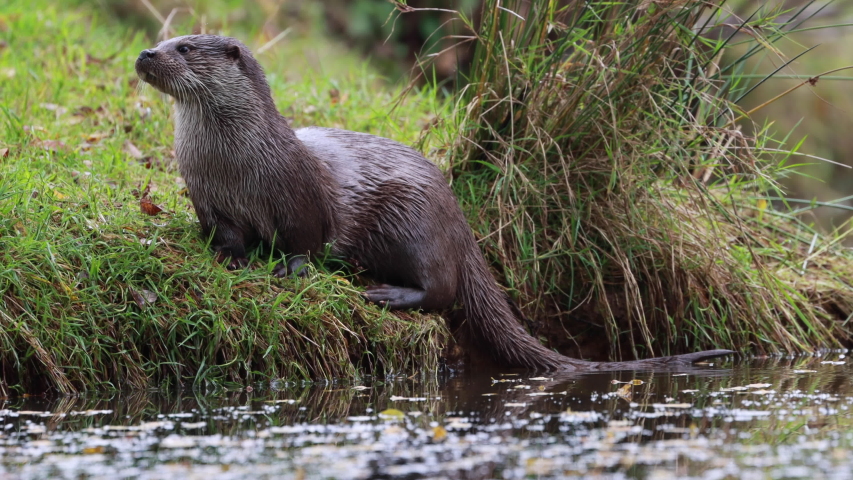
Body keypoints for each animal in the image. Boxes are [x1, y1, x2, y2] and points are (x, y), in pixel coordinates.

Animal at [135, 35, 733, 371]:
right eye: (166, 38)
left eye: (184, 47)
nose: (145, 53)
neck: (236, 164)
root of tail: (463, 223)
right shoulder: (208, 197)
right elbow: (225, 235)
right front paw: (230, 259)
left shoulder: (297, 195)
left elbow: (305, 238)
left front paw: (289, 268)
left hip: (413, 219)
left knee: (442, 290)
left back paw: (387, 293)